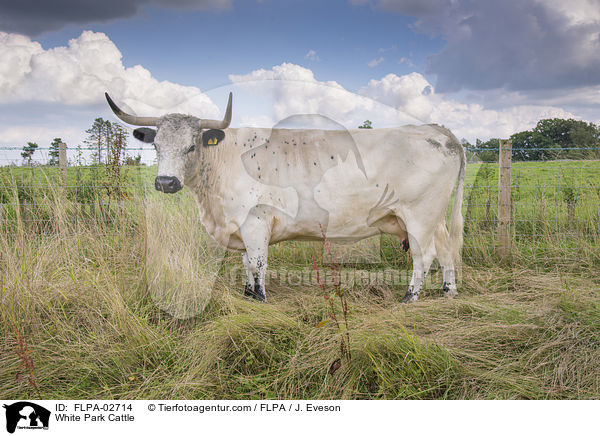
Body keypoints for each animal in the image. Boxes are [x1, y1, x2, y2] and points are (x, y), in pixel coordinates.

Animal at [105, 92, 466, 304]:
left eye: (192, 146)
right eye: (156, 145)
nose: (166, 182)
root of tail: (435, 129)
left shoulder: (256, 221)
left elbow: (258, 263)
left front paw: (260, 296)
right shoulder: (241, 227)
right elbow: (246, 263)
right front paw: (248, 292)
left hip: (419, 216)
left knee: (424, 256)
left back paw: (410, 296)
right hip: (432, 218)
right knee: (446, 249)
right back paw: (448, 291)